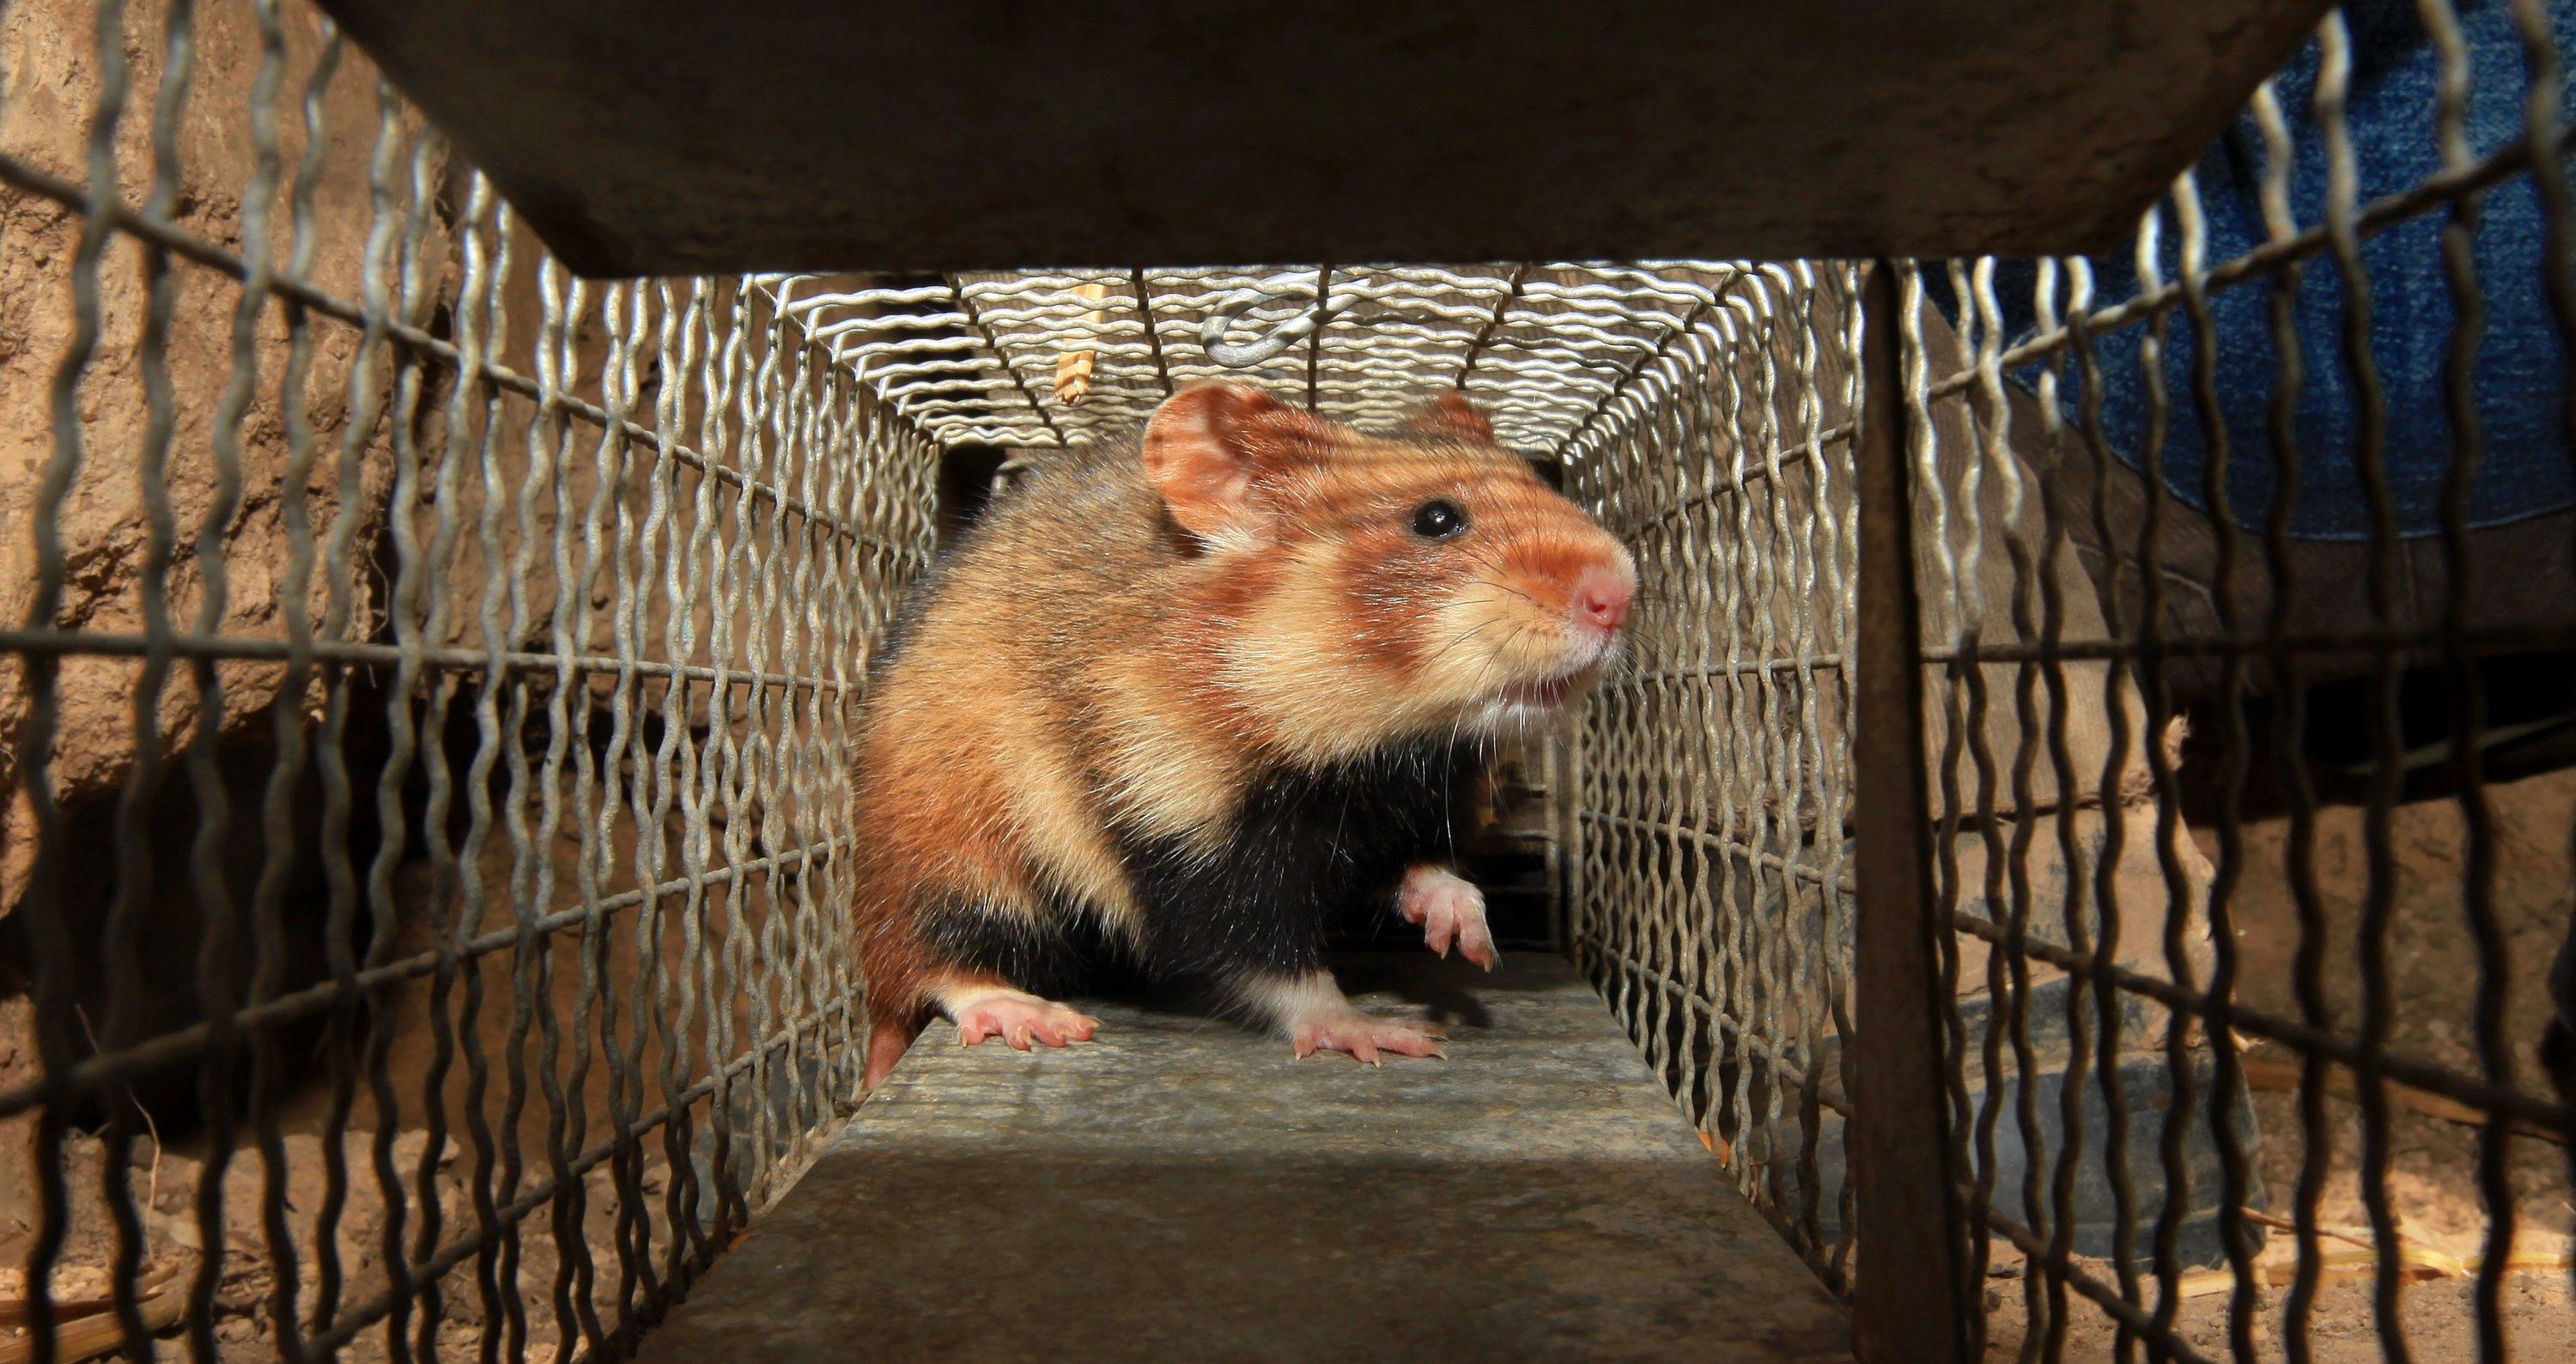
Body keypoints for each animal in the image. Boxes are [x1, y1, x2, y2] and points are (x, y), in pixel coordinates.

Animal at [851, 380, 1635, 1089]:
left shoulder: (1401, 803)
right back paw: (1032, 1016)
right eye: (1437, 519)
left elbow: (1422, 868)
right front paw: (1378, 1031)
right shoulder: (1178, 830)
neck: (1376, 742)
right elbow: (1271, 965)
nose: (1621, 595)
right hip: (956, 861)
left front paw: (1468, 936)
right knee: (937, 963)